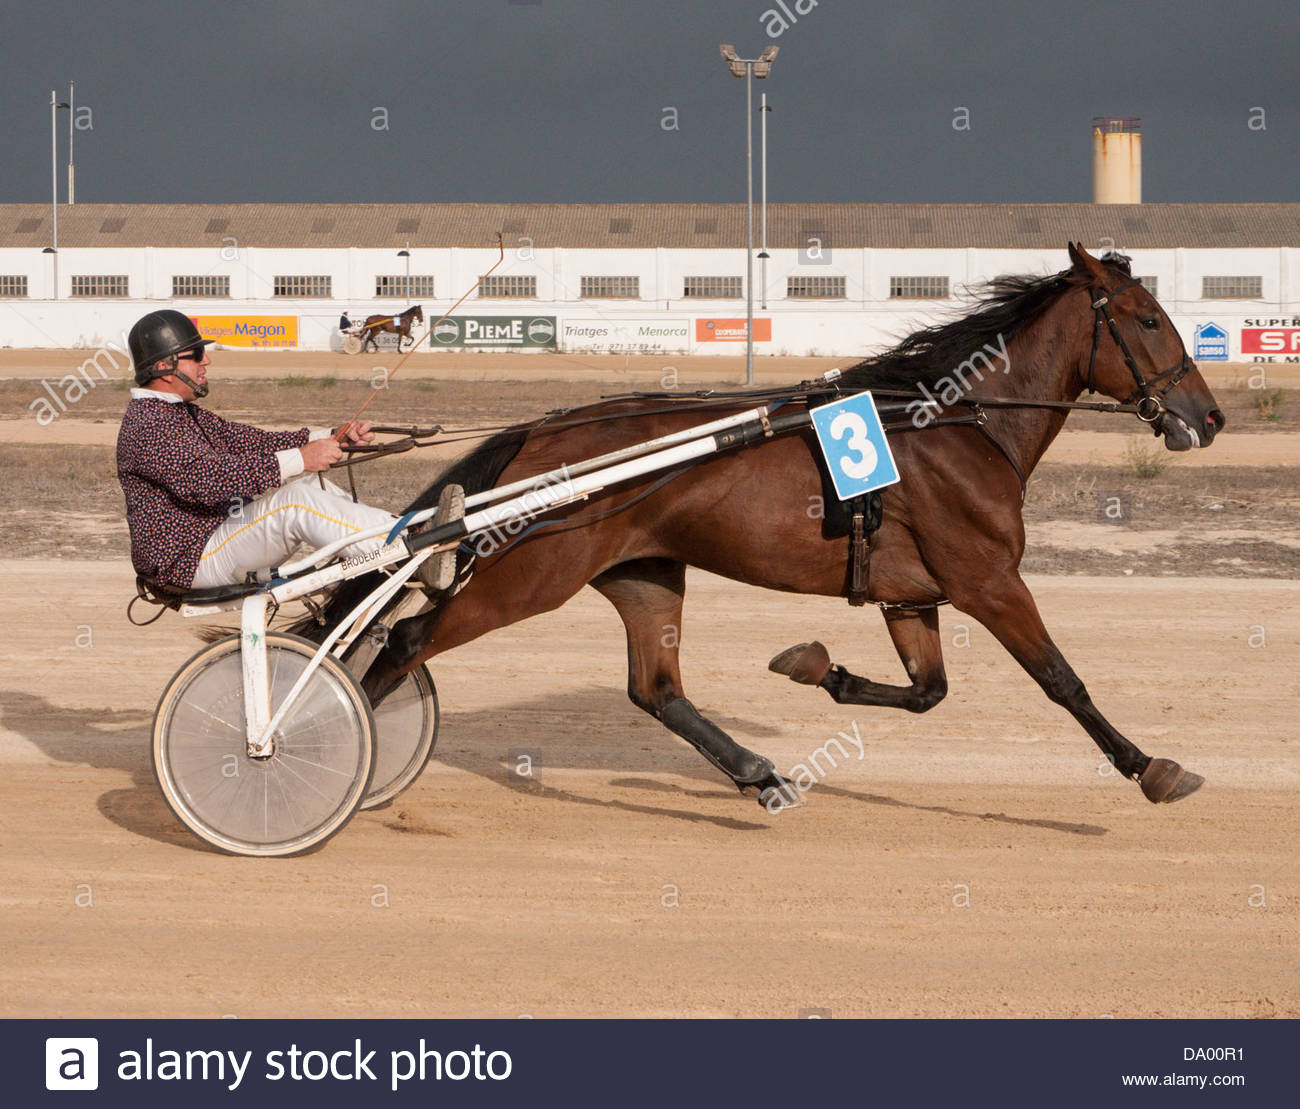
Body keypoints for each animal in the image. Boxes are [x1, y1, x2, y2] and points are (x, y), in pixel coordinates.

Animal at [312, 247, 1216, 811]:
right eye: (1145, 319)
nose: (1208, 417)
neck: (955, 424)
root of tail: (544, 431)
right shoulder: (988, 581)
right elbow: (1063, 680)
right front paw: (1150, 766)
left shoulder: (911, 597)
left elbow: (927, 691)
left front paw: (813, 663)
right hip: (530, 576)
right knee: (404, 642)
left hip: (644, 573)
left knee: (657, 689)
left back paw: (760, 775)